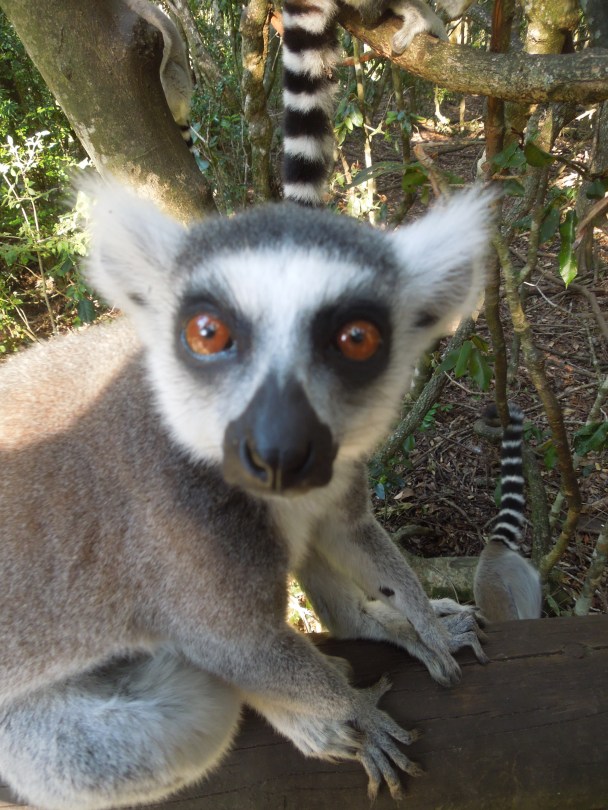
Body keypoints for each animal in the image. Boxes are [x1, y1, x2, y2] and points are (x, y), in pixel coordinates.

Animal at [0, 177, 493, 809]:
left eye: (356, 340)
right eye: (207, 334)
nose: (279, 444)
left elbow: (350, 534)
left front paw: (423, 623)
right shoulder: (178, 522)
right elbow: (234, 647)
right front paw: (355, 710)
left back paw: (381, 628)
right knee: (176, 714)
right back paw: (316, 724)